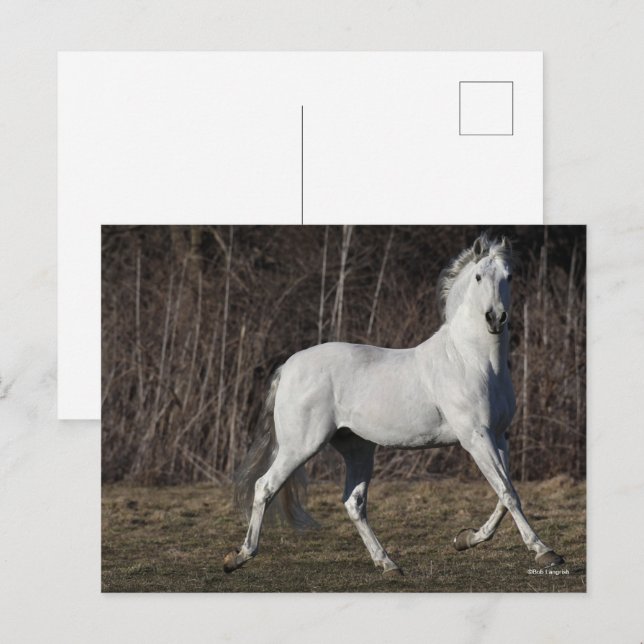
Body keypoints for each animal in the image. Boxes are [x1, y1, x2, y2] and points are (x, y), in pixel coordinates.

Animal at [223, 234, 564, 576]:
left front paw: (464, 539)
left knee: (354, 503)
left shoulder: (499, 437)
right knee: (265, 487)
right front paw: (545, 552)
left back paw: (388, 564)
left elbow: (505, 495)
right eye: (479, 276)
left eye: (510, 276)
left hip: (357, 448)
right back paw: (238, 557)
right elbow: (507, 493)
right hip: (300, 446)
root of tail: (288, 366)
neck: (473, 362)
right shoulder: (476, 437)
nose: (495, 318)